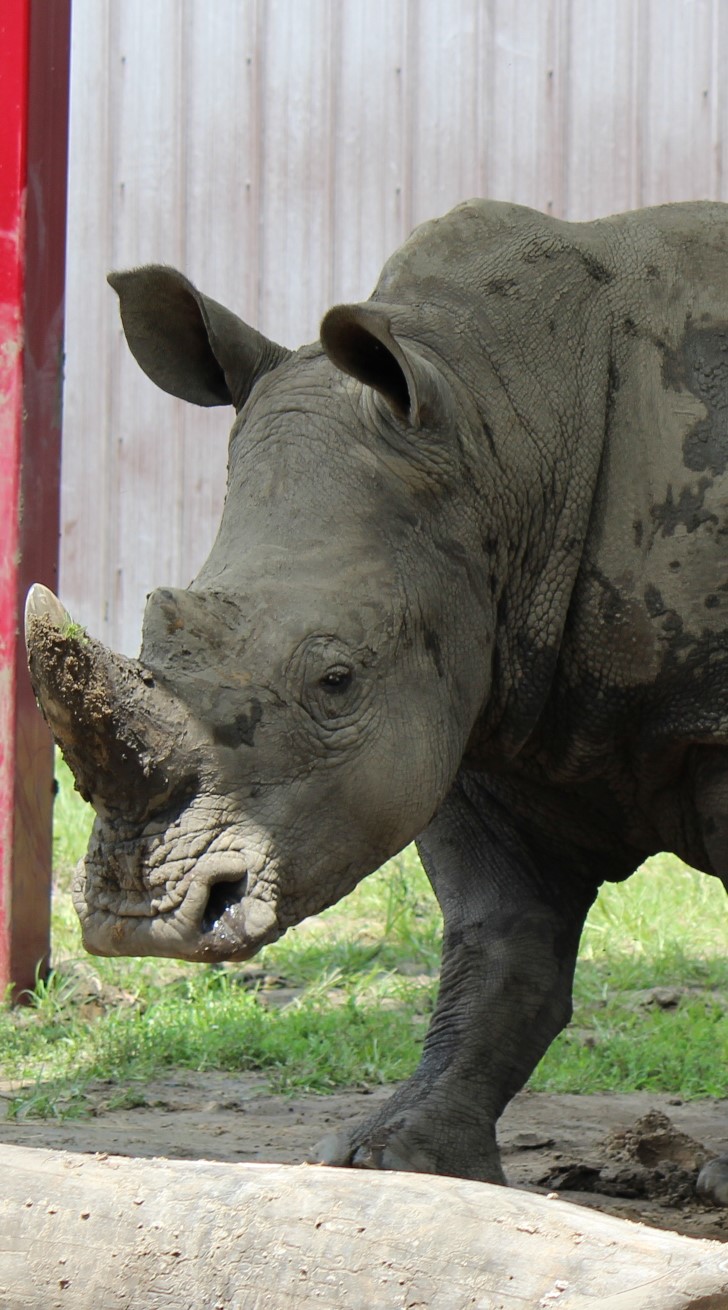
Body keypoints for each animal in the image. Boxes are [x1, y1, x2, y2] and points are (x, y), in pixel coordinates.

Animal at [26, 199, 728, 1188]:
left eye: (336, 680)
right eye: (156, 636)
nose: (140, 919)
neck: (498, 432)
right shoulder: (477, 704)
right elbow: (502, 945)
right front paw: (396, 1159)